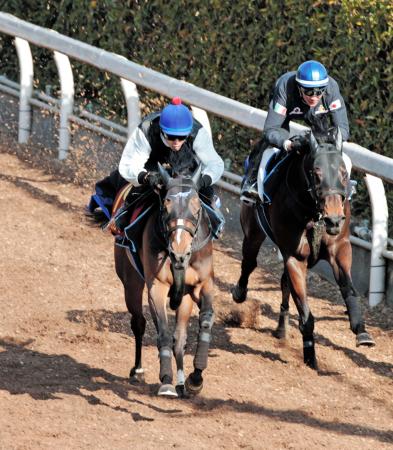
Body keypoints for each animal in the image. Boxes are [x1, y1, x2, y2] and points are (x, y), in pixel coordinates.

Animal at [115, 163, 214, 396]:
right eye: (166, 205)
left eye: (197, 205)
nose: (179, 251)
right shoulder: (156, 288)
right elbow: (163, 333)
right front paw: (167, 380)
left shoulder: (202, 285)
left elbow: (205, 321)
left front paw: (195, 377)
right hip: (131, 283)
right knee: (139, 323)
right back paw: (139, 369)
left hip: (184, 298)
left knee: (180, 338)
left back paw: (181, 382)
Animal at [233, 129, 374, 370]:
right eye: (315, 172)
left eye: (343, 172)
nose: (334, 219)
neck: (313, 212)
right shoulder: (295, 256)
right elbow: (305, 311)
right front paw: (309, 356)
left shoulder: (339, 247)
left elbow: (348, 287)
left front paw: (361, 330)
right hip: (253, 231)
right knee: (249, 262)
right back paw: (240, 293)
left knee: (282, 282)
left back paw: (281, 328)